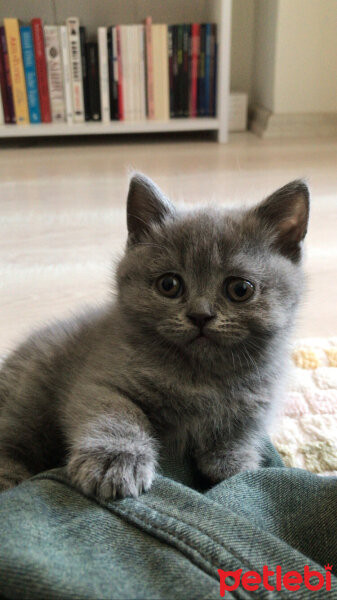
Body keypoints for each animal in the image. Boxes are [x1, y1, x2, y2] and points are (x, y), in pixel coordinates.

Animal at [0, 176, 308, 500]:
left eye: (240, 289)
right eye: (169, 284)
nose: (200, 315)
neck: (202, 377)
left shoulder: (258, 403)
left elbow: (241, 435)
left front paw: (236, 468)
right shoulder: (102, 380)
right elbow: (117, 414)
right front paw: (115, 462)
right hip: (31, 394)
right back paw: (9, 478)